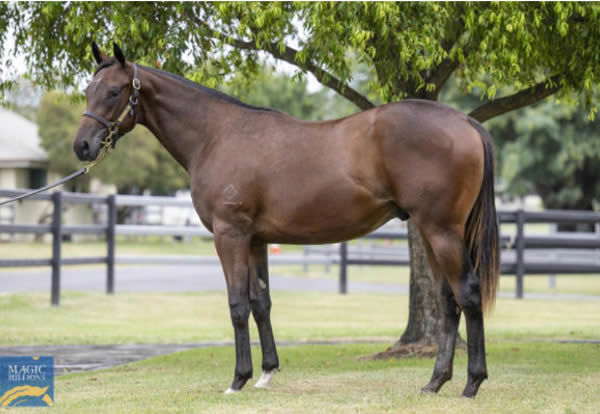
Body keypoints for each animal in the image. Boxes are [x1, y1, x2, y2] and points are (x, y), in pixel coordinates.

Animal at [75, 42, 502, 398]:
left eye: (113, 91)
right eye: (86, 91)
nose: (82, 146)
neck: (217, 135)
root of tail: (466, 123)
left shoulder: (230, 235)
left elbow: (237, 304)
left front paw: (238, 380)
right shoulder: (256, 239)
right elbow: (260, 301)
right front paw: (266, 372)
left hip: (441, 231)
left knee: (467, 293)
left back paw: (472, 384)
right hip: (432, 233)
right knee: (448, 300)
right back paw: (435, 382)